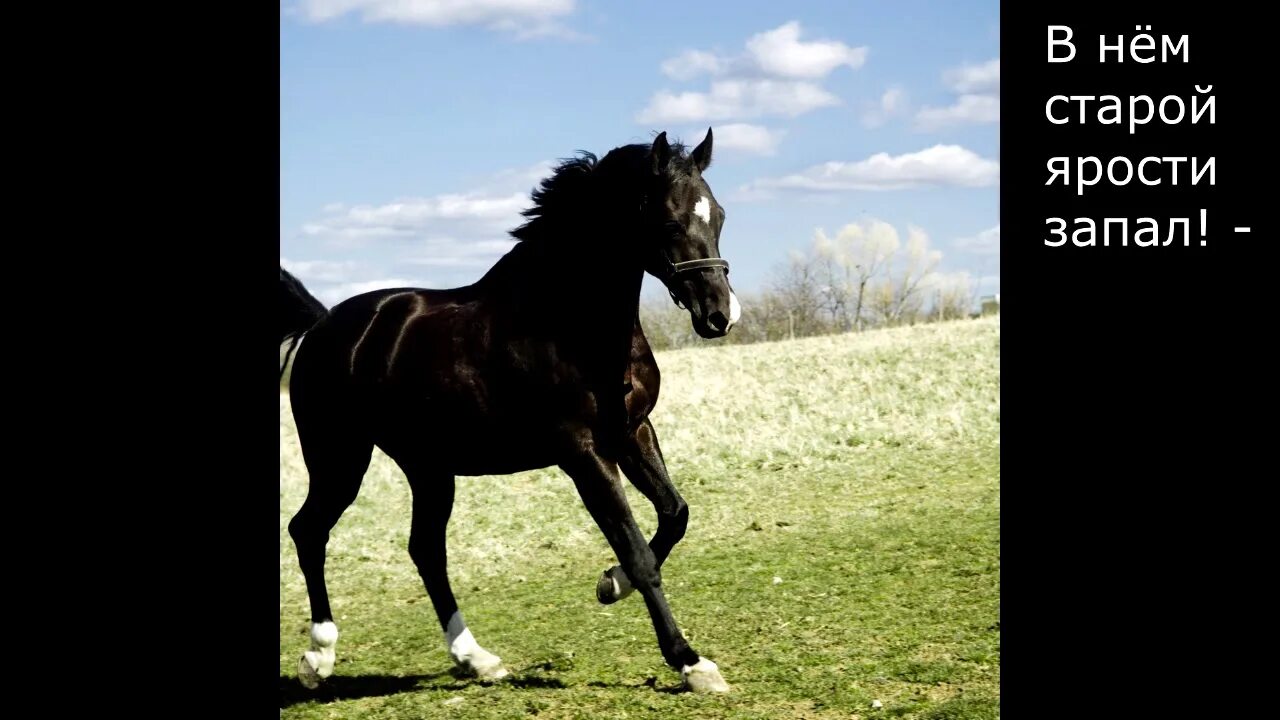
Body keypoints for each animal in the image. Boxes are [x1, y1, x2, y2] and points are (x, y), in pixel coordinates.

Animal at [280, 127, 742, 691]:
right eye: (670, 220)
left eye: (719, 215)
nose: (719, 315)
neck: (568, 321)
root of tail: (321, 327)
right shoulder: (582, 452)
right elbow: (637, 554)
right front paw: (690, 662)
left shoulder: (633, 432)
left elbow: (675, 514)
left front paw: (608, 585)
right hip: (339, 458)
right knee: (309, 531)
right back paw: (318, 657)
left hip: (428, 468)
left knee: (425, 550)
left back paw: (476, 659)